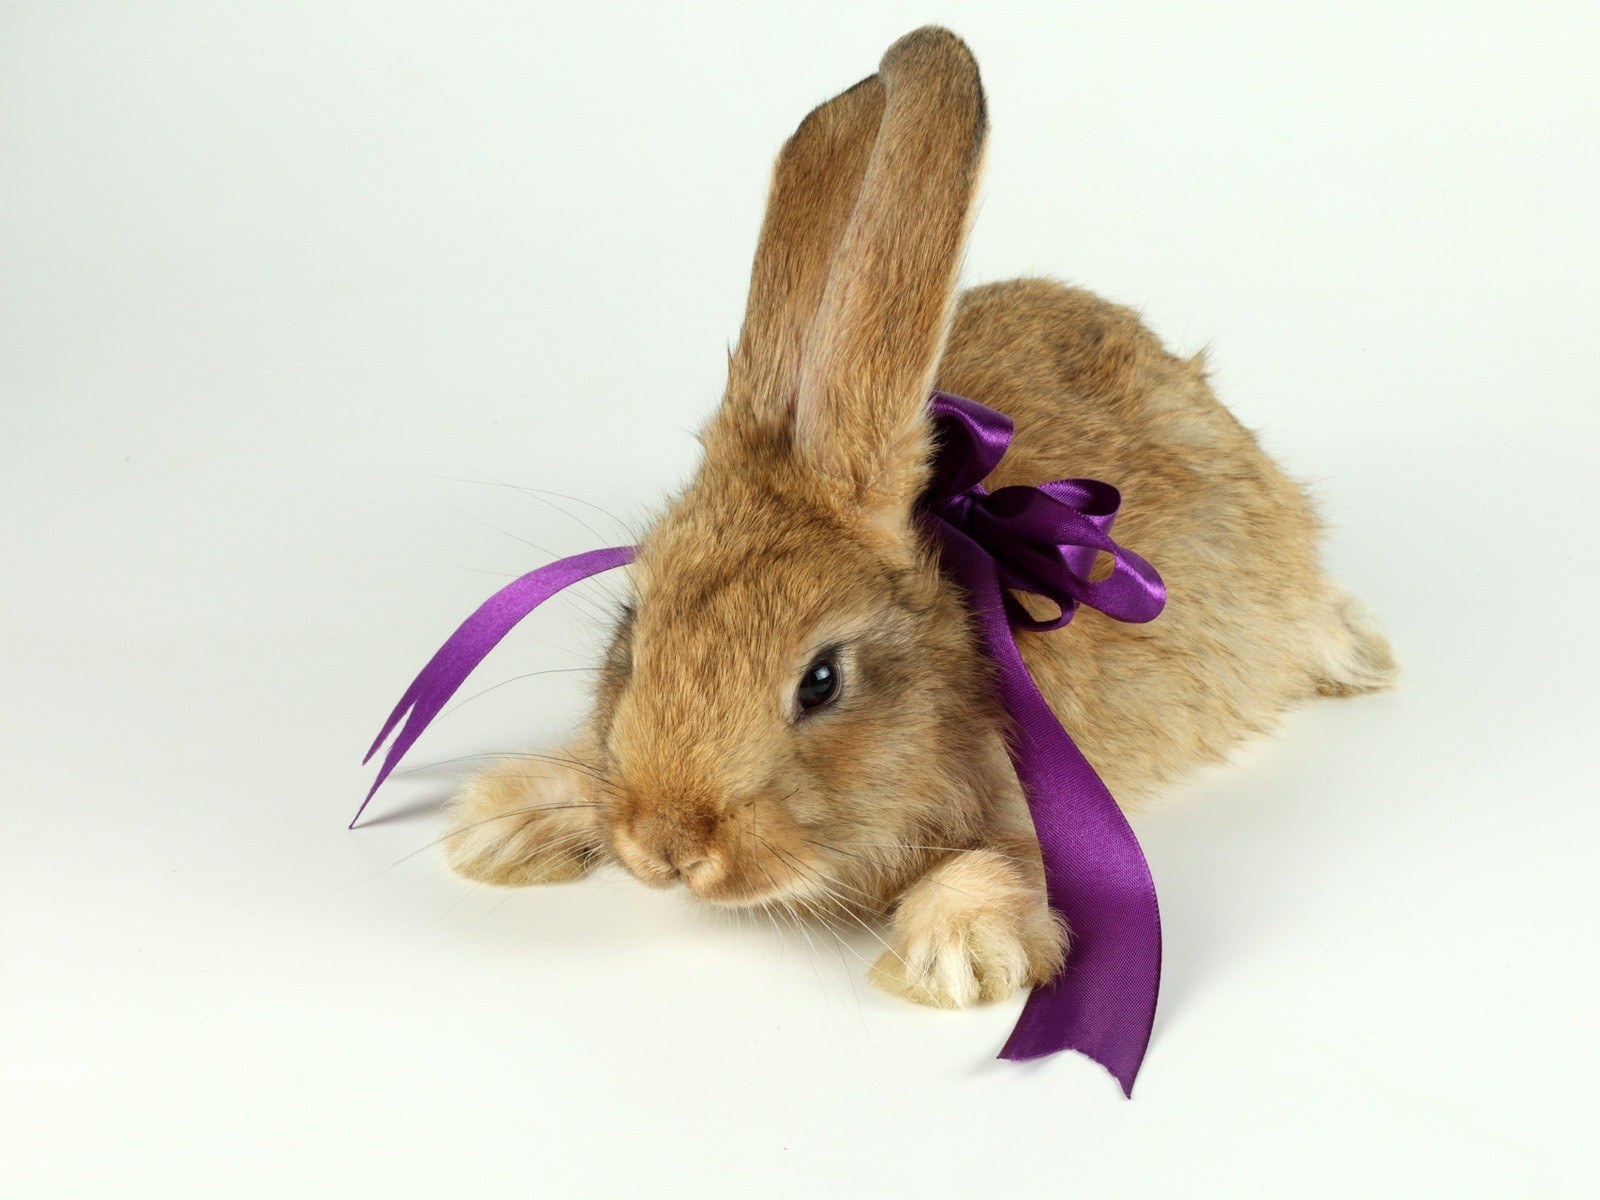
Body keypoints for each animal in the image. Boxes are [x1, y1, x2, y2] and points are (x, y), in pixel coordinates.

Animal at [440, 26, 1396, 1010]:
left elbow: (1014, 864)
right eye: (633, 638)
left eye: (822, 682)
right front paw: (502, 820)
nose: (668, 845)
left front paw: (952, 955)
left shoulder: (1038, 795)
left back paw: (1360, 653)